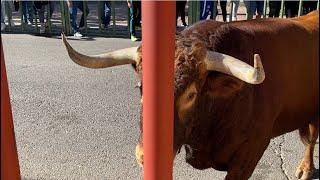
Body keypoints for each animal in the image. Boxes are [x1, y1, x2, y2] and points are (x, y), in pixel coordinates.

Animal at [62, 10, 318, 179]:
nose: (144, 155)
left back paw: (306, 169)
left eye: (191, 95)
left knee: (312, 138)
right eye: (141, 88)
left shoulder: (251, 151)